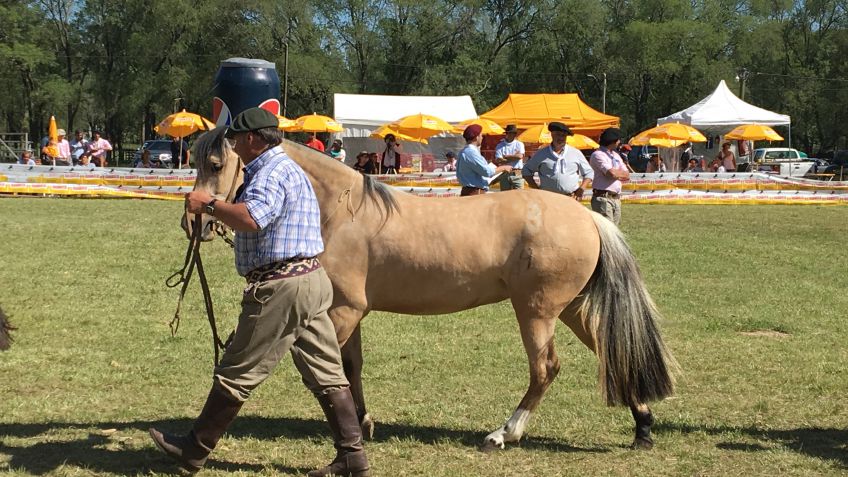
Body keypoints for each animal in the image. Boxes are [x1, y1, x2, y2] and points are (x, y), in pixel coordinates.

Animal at [184, 127, 677, 450]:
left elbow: (329, 371)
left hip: (536, 311)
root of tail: (586, 217)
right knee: (615, 352)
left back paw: (504, 433)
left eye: (215, 163)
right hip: (570, 309)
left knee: (546, 369)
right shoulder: (351, 311)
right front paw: (362, 423)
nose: (195, 220)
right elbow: (351, 367)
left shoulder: (341, 312)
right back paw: (643, 427)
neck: (341, 211)